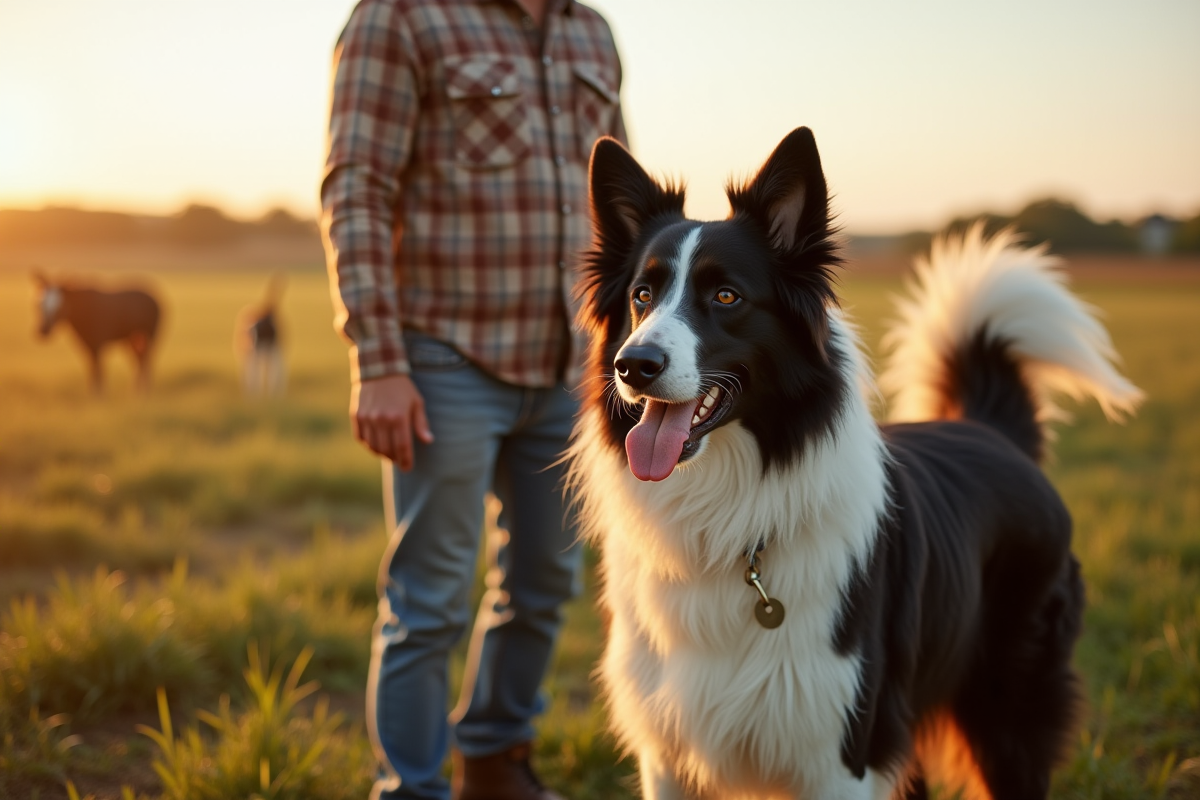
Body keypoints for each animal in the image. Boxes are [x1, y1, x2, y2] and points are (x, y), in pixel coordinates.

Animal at [33, 271, 162, 393]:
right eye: (40, 305)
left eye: (60, 307)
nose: (43, 330)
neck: (81, 311)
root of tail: (156, 301)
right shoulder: (88, 346)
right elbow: (92, 370)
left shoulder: (98, 344)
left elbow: (99, 371)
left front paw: (99, 395)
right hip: (132, 338)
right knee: (139, 359)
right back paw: (137, 390)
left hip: (149, 336)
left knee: (147, 360)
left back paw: (145, 390)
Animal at [566, 128, 1137, 796]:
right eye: (642, 296)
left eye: (726, 296)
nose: (633, 365)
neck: (727, 522)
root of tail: (991, 427)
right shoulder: (668, 753)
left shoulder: (841, 751)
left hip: (1007, 713)